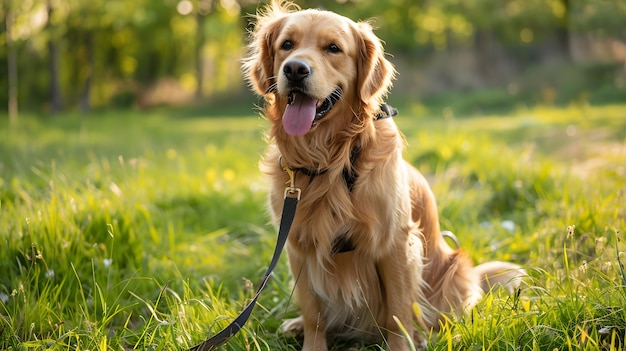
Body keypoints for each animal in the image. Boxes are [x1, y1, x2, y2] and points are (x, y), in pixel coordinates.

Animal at [241, 1, 524, 350]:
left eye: (333, 48)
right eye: (287, 45)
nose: (295, 69)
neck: (332, 160)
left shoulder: (396, 243)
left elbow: (399, 314)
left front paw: (404, 344)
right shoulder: (298, 244)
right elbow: (312, 312)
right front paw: (310, 339)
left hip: (453, 270)